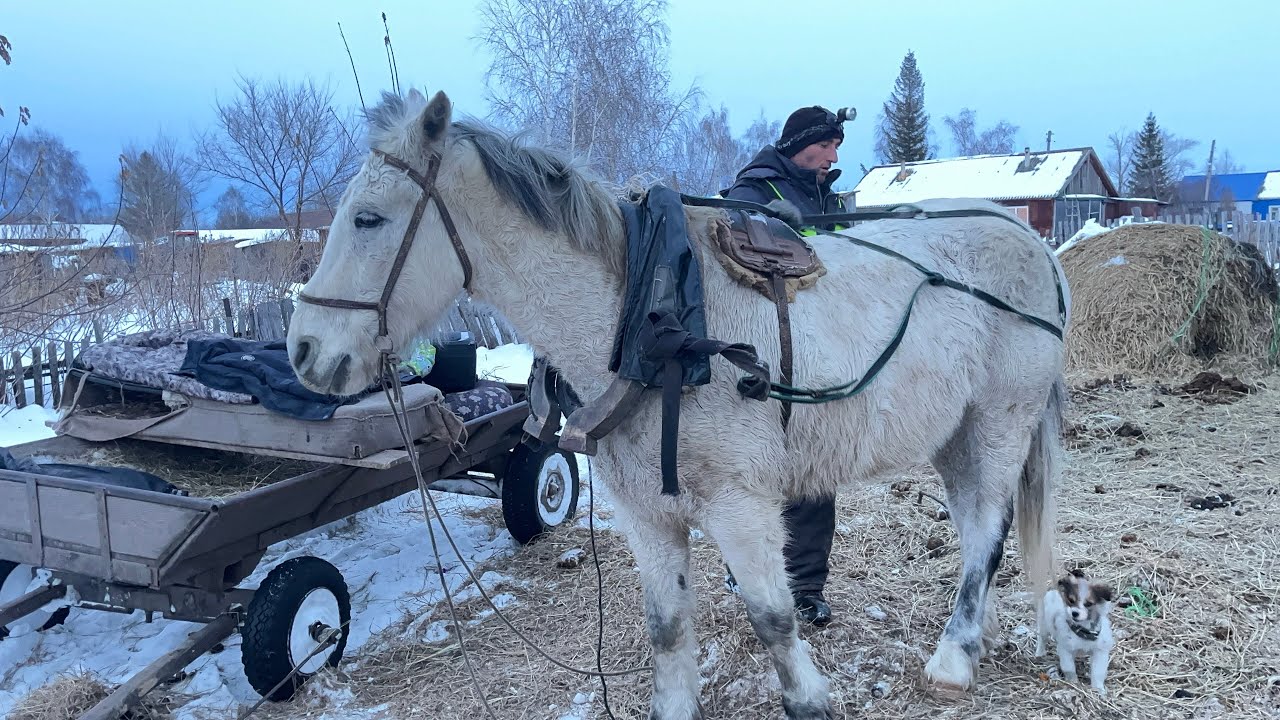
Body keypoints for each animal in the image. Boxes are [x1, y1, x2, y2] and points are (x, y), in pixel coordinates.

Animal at [286, 88, 1071, 720]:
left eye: (368, 219)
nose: (303, 351)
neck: (651, 320)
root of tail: (1032, 240)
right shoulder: (647, 514)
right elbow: (665, 625)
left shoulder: (741, 508)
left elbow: (772, 616)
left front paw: (809, 698)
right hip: (954, 434)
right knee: (974, 527)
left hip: (999, 424)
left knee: (986, 532)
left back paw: (953, 659)